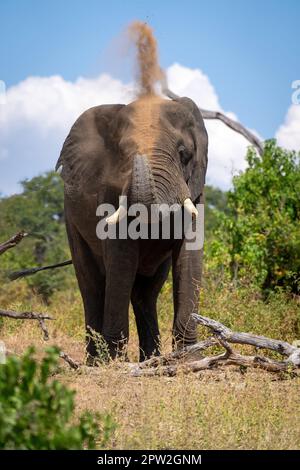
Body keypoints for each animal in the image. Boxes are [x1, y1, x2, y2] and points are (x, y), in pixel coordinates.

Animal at [55, 92, 207, 364]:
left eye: (183, 154)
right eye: (124, 154)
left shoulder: (196, 189)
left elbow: (189, 257)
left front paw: (189, 359)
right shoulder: (109, 191)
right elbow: (121, 258)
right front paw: (115, 363)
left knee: (146, 292)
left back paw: (150, 360)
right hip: (70, 218)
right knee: (92, 286)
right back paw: (96, 363)